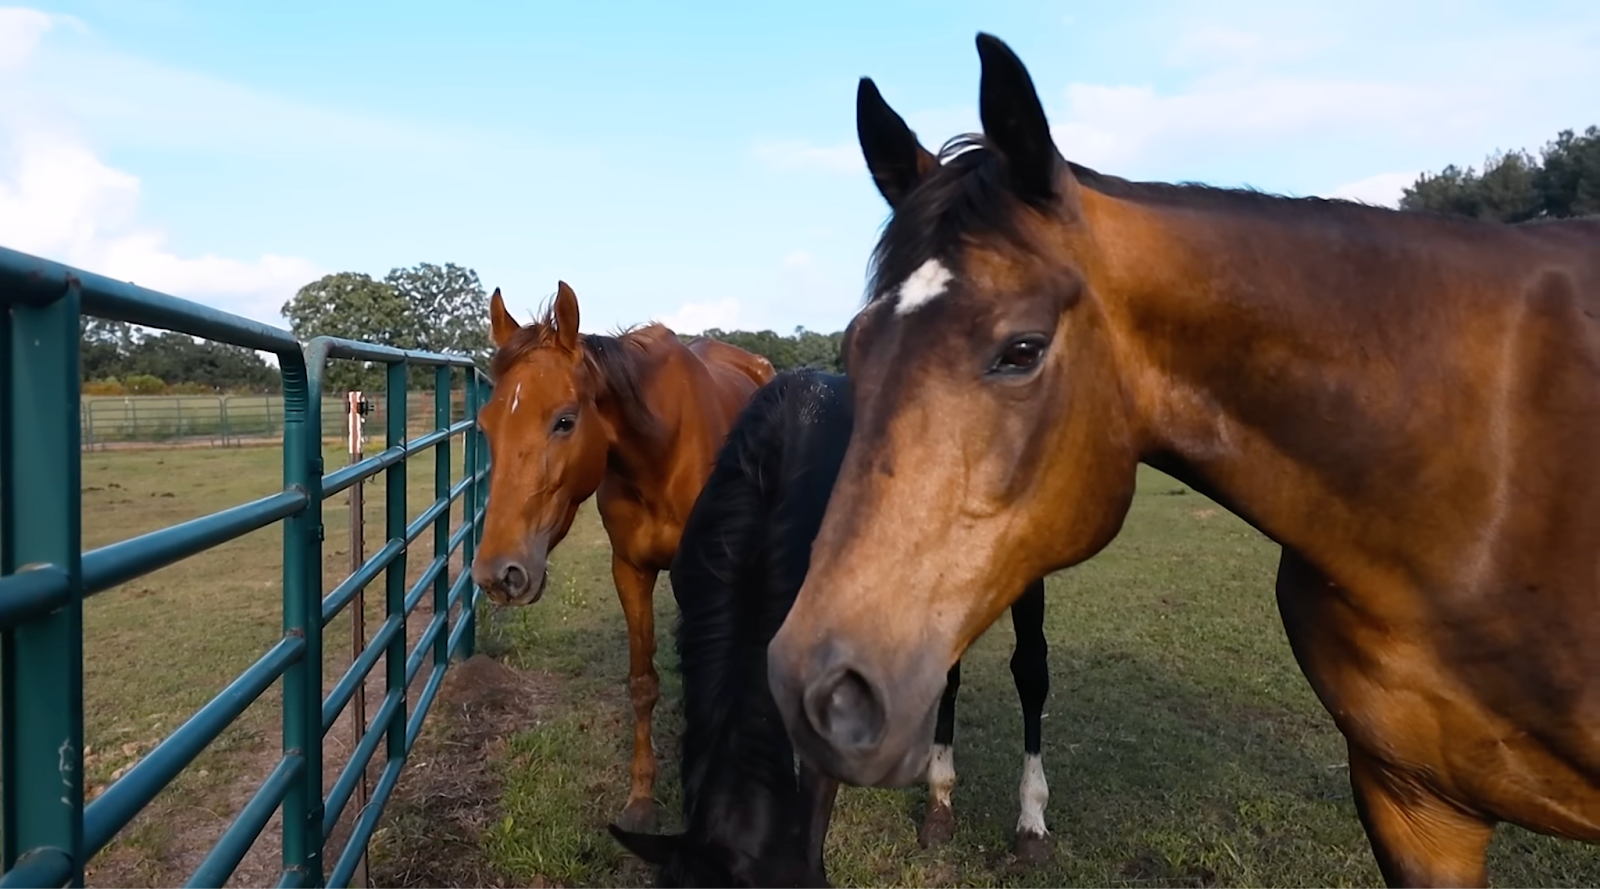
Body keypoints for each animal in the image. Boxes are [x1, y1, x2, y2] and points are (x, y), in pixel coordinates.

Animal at [471, 281, 775, 832]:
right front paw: (641, 799)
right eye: (486, 425)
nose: (498, 575)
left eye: (564, 421)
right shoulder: (630, 570)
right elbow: (643, 683)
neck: (661, 453)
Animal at [765, 32, 1600, 889]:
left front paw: (1029, 818)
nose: (819, 690)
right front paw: (941, 800)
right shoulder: (1416, 807)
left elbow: (1029, 668)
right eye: (856, 348)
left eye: (1022, 349)